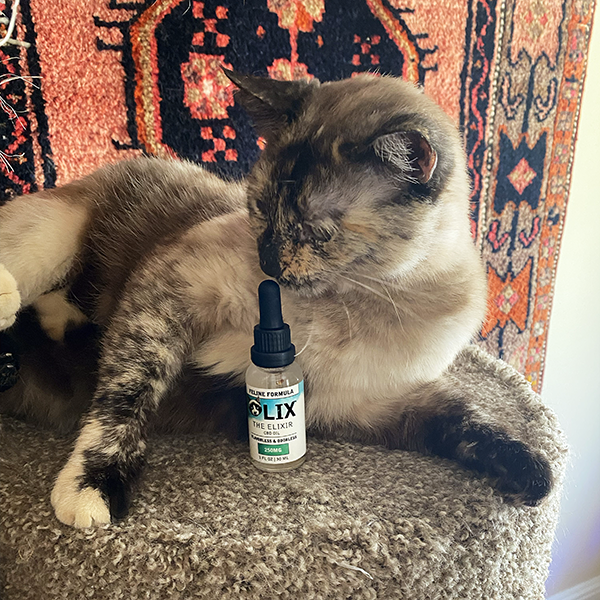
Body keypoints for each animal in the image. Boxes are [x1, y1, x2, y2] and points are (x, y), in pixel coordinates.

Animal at [0, 72, 552, 528]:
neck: (367, 301)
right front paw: (94, 487)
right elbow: (125, 398)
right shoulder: (172, 291)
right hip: (54, 237)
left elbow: (465, 419)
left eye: (316, 230)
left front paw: (532, 476)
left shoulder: (367, 405)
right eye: (261, 208)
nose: (268, 261)